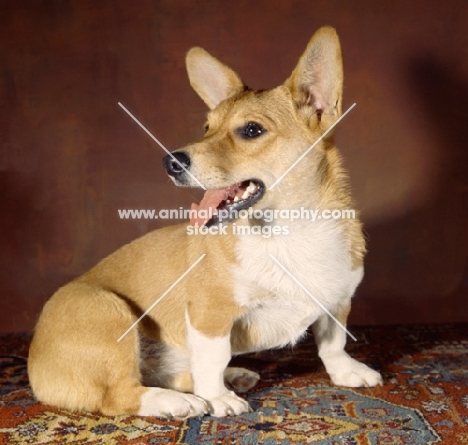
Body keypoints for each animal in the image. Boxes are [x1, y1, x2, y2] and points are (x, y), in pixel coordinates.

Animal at [27, 26, 382, 416]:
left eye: (252, 130)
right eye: (206, 127)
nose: (170, 162)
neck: (288, 231)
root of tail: (34, 362)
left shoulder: (338, 299)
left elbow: (333, 342)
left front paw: (346, 372)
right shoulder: (210, 313)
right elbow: (213, 356)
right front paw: (217, 398)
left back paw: (228, 377)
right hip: (109, 309)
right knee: (119, 395)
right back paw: (179, 402)